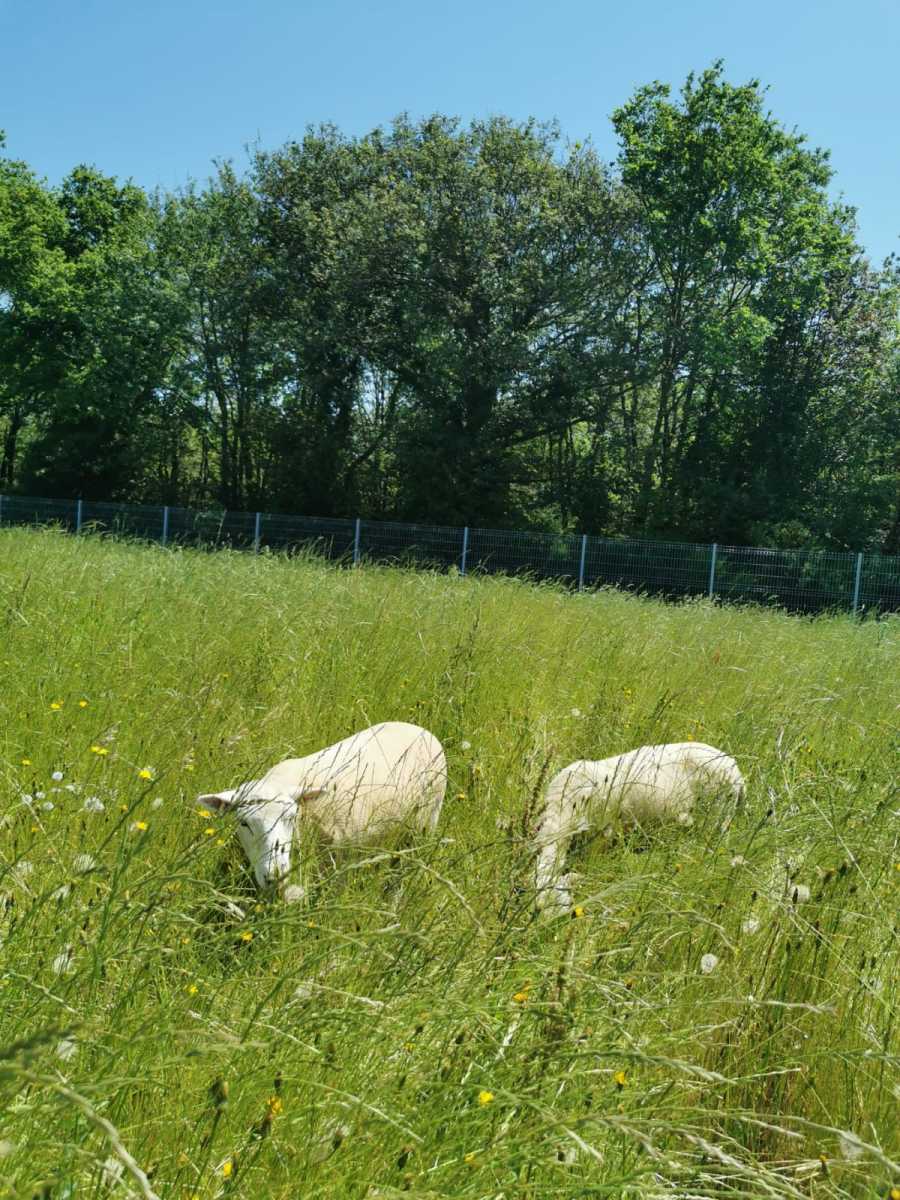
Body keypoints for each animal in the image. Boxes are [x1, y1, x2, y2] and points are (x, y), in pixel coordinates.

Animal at [196, 721, 447, 898]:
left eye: (291, 818)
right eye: (244, 823)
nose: (276, 874)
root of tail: (420, 729)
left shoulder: (340, 865)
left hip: (423, 827)